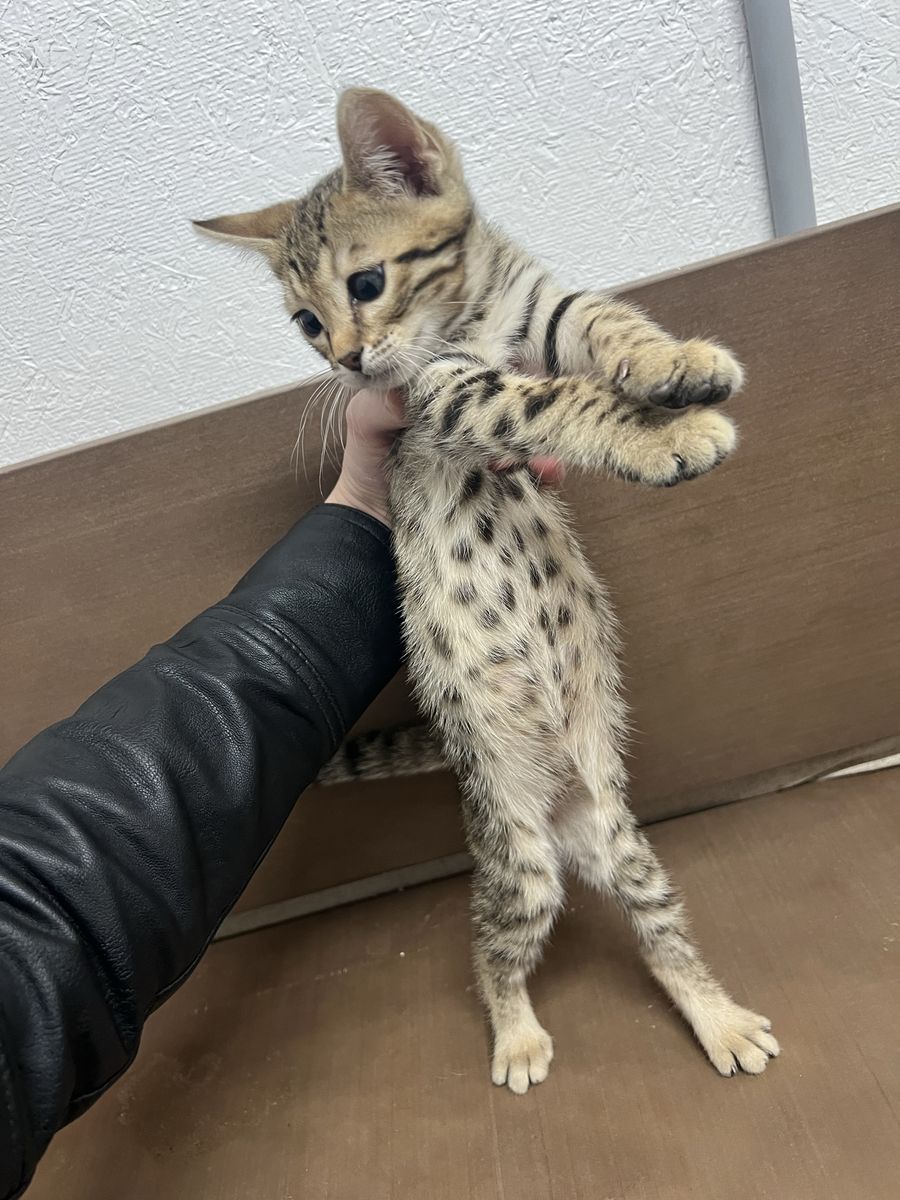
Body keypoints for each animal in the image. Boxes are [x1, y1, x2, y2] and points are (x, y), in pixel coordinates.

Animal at [195, 88, 778, 1093]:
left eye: (364, 284)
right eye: (306, 323)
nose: (346, 362)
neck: (467, 314)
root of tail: (566, 821)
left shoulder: (546, 309)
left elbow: (607, 325)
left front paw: (674, 366)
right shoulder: (449, 392)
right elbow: (550, 401)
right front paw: (662, 435)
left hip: (629, 851)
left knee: (663, 939)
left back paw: (718, 1018)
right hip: (519, 869)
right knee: (490, 955)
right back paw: (516, 1038)